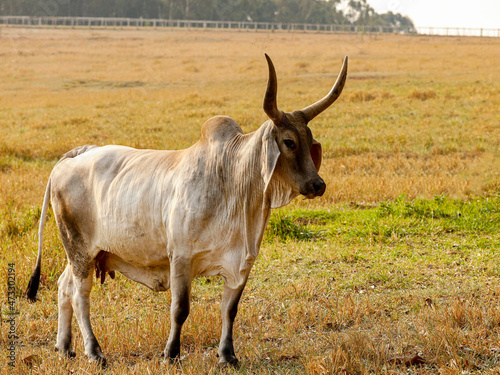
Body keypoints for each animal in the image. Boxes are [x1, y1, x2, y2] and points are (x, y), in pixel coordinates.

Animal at [26, 53, 348, 368]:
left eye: (309, 140)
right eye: (289, 142)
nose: (318, 185)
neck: (232, 180)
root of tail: (73, 156)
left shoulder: (241, 264)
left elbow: (229, 310)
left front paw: (227, 355)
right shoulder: (180, 257)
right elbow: (180, 309)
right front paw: (171, 354)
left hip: (85, 254)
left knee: (64, 287)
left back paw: (64, 347)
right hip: (79, 250)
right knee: (80, 296)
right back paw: (94, 352)